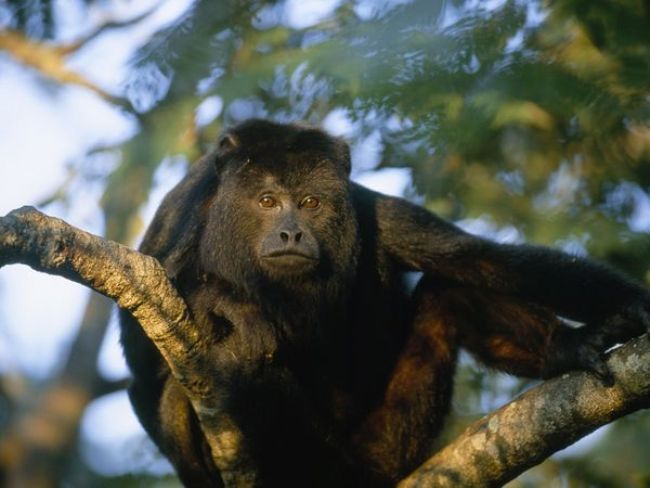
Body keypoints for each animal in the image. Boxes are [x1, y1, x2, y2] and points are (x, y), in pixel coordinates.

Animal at [120, 119, 648, 488]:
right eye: (268, 201)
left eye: (311, 203)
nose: (291, 233)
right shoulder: (186, 212)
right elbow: (141, 355)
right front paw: (222, 299)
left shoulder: (371, 211)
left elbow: (482, 258)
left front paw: (630, 306)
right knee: (191, 384)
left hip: (389, 444)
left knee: (446, 295)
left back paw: (566, 348)